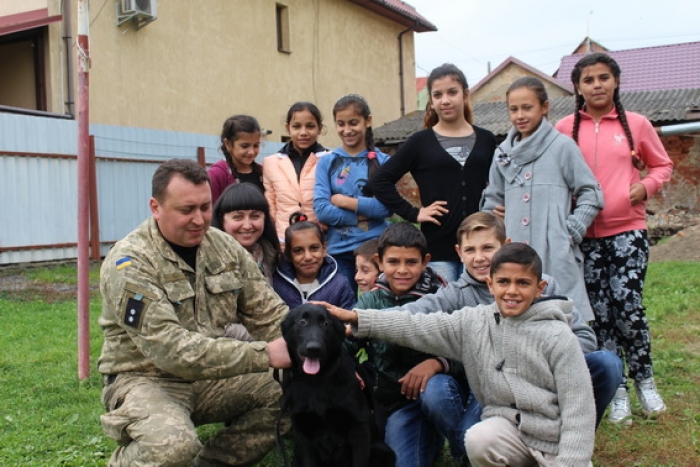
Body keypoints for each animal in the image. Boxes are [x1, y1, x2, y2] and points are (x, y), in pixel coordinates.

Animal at [282, 304, 396, 467]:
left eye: (325, 324)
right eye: (302, 322)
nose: (313, 349)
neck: (316, 380)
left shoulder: (359, 428)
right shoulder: (303, 434)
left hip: (382, 451)